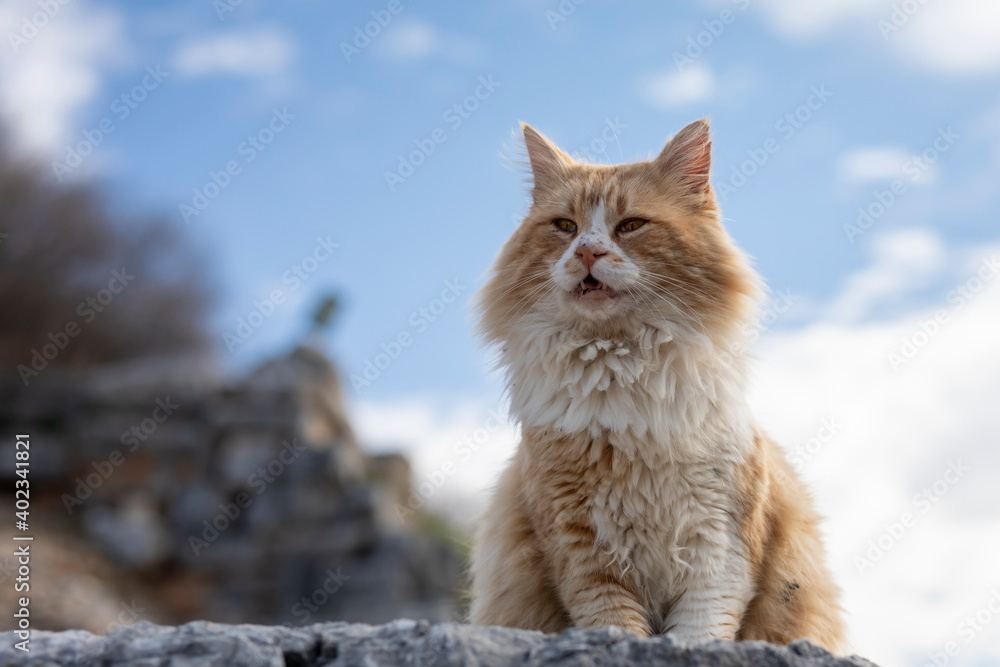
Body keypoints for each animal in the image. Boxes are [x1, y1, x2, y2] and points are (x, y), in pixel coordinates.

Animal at [466, 120, 844, 652]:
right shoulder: (580, 549)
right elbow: (615, 625)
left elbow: (699, 633)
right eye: (565, 227)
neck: (624, 376)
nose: (587, 251)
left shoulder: (719, 548)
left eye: (630, 226)